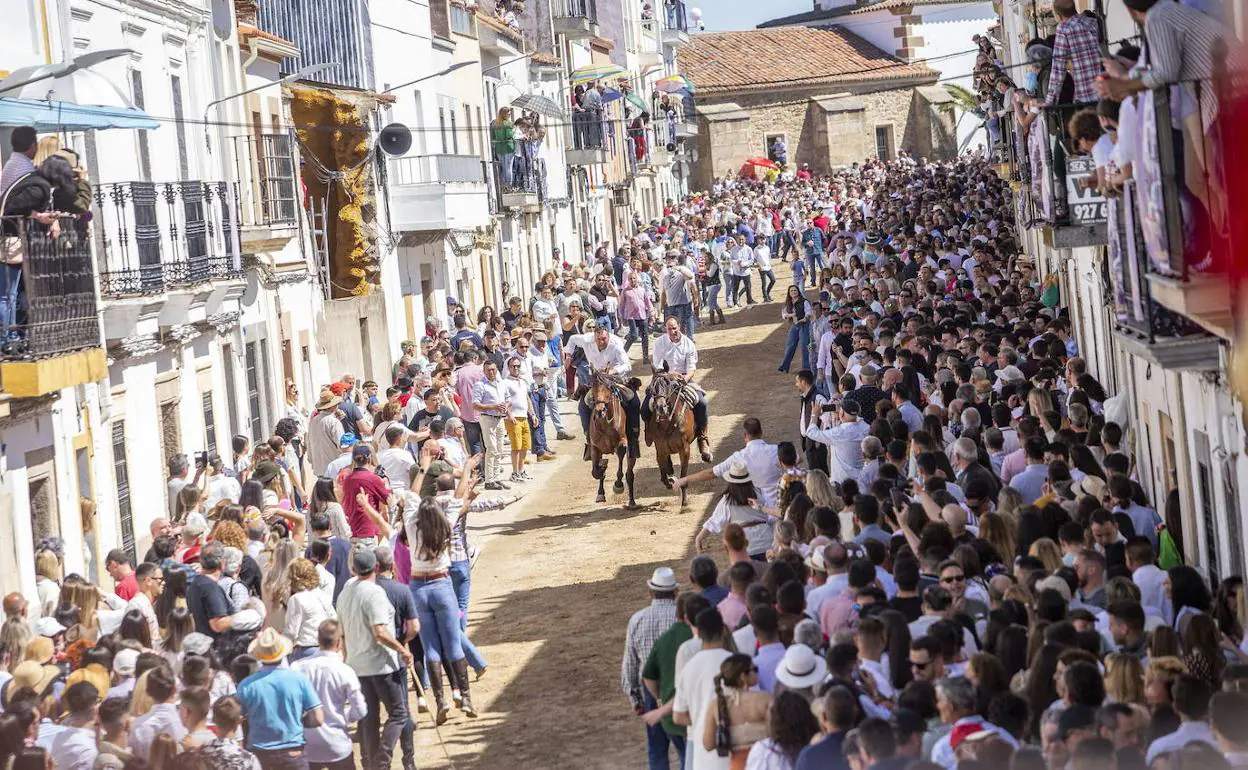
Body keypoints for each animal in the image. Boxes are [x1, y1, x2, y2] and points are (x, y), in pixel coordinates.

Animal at [586, 369, 638, 506]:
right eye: (592, 385)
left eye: (608, 387)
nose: (600, 410)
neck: (605, 424)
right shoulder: (595, 448)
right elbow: (596, 472)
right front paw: (602, 467)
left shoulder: (622, 442)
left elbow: (620, 454)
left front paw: (618, 485)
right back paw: (600, 493)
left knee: (630, 474)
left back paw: (631, 501)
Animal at [643, 374, 703, 511]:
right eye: (652, 388)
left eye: (668, 386)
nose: (661, 407)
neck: (667, 423)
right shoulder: (661, 449)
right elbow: (663, 475)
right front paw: (670, 482)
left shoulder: (684, 449)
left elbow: (683, 475)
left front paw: (684, 503)